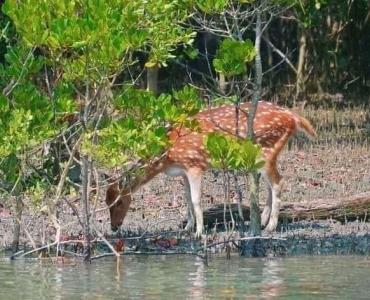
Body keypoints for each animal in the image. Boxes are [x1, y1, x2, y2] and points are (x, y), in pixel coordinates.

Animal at [105, 101, 316, 237]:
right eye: (106, 202)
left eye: (119, 202)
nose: (114, 227)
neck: (168, 156)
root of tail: (293, 117)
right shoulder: (183, 171)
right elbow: (186, 199)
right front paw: (187, 228)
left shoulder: (194, 164)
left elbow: (196, 200)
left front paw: (199, 232)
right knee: (270, 184)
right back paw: (263, 221)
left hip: (266, 150)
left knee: (278, 182)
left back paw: (271, 226)